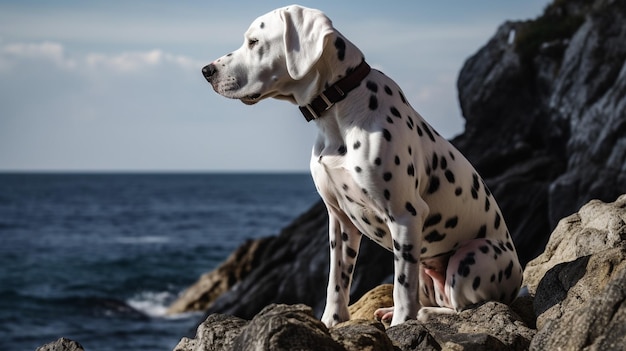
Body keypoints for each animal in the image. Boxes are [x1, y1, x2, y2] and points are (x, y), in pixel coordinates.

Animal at [201, 4, 520, 328]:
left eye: (254, 42)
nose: (206, 71)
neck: (338, 107)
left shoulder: (405, 217)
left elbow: (402, 287)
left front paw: (401, 324)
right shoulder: (340, 220)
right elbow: (336, 282)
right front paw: (331, 321)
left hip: (471, 257)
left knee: (462, 307)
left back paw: (422, 314)